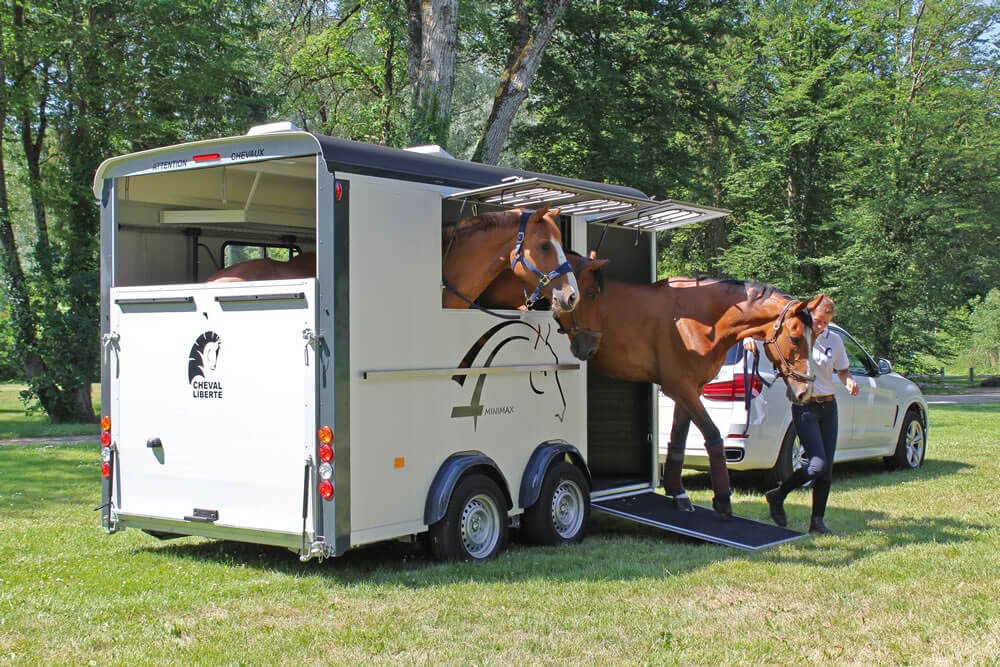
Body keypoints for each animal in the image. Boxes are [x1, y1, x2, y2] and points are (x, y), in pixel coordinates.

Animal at [552, 254, 820, 517]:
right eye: (795, 338)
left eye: (815, 337)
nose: (804, 392)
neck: (703, 320)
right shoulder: (680, 387)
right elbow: (713, 435)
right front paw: (722, 498)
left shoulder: (690, 389)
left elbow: (678, 438)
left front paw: (678, 493)